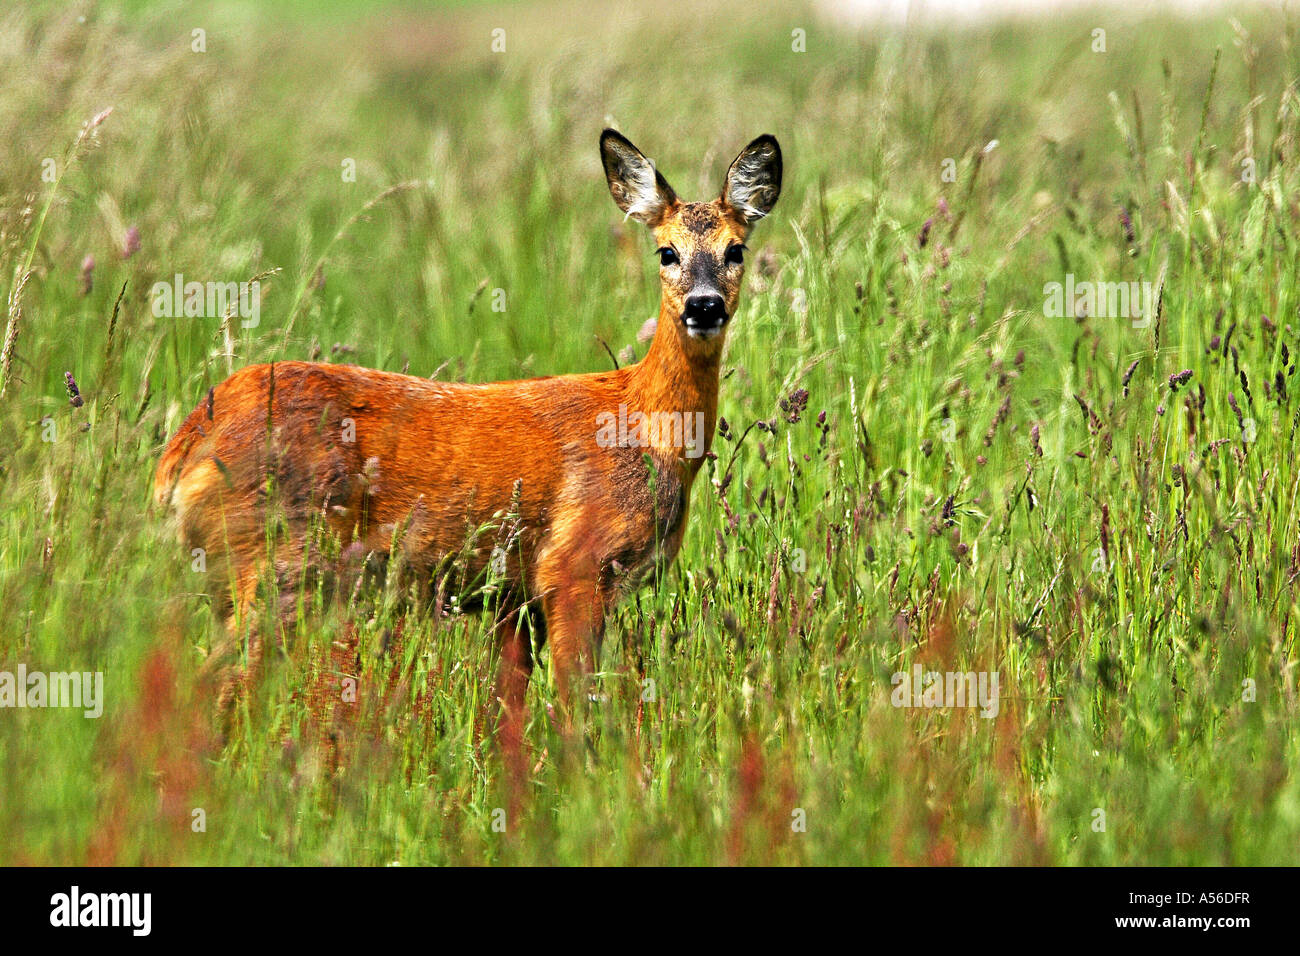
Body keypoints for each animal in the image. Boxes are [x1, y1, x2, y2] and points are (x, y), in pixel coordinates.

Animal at [152, 127, 780, 749]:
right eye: (666, 251)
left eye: (736, 249)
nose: (704, 305)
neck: (648, 430)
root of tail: (184, 447)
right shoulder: (572, 566)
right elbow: (575, 709)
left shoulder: (514, 597)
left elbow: (509, 714)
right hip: (277, 561)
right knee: (212, 687)